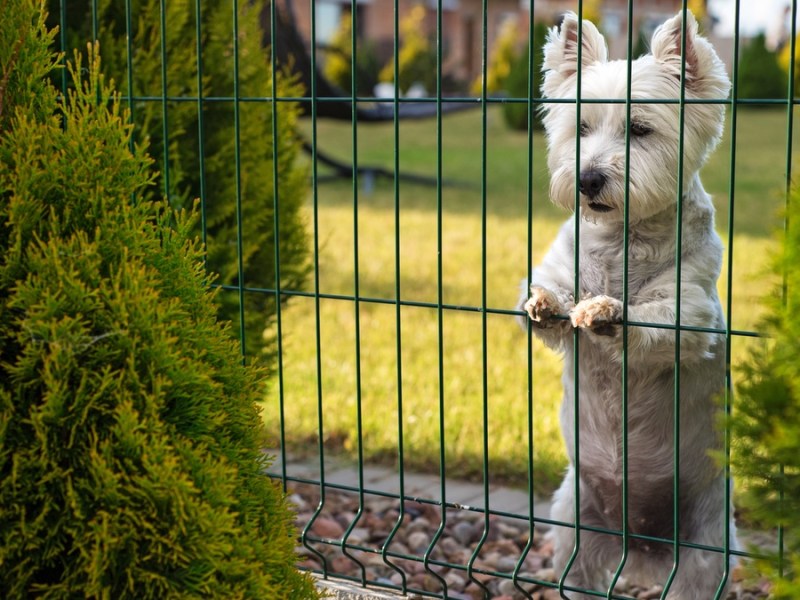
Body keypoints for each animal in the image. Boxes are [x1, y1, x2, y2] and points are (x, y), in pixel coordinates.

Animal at [524, 10, 736, 600]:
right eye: (580, 129)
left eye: (640, 129)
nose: (587, 179)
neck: (623, 239)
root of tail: (639, 545)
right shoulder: (561, 265)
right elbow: (550, 301)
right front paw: (548, 302)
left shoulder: (691, 310)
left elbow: (656, 321)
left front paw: (606, 312)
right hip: (573, 524)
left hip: (706, 545)